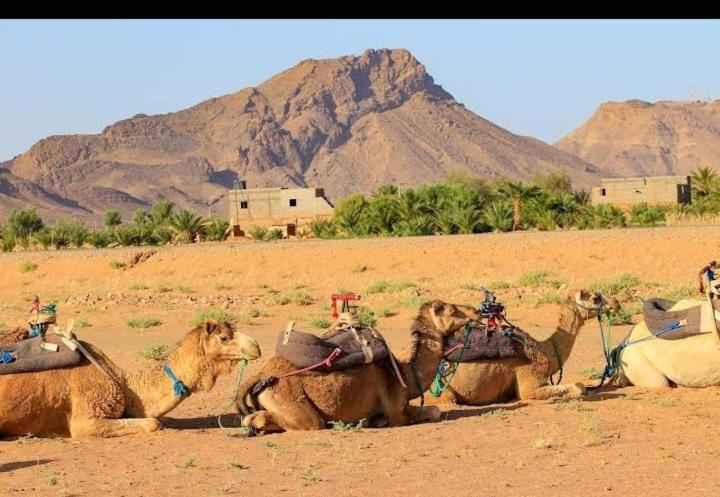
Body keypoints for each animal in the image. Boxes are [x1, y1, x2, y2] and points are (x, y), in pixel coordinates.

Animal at [239, 300, 480, 432]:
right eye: (451, 310)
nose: (477, 312)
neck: (405, 373)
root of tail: (260, 375)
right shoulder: (397, 413)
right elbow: (434, 411)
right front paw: (377, 421)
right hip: (292, 401)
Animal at [428, 288, 620, 404]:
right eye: (595, 298)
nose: (616, 303)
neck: (545, 349)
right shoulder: (529, 382)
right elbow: (579, 387)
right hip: (442, 390)